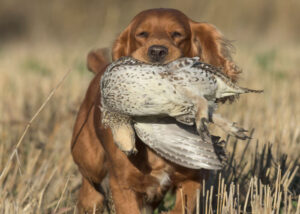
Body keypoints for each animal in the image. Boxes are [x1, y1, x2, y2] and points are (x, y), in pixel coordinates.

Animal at [71, 7, 240, 212]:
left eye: (177, 34)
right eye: (142, 34)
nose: (157, 51)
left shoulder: (193, 178)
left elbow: (182, 207)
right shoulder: (124, 185)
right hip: (88, 157)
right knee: (89, 181)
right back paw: (90, 201)